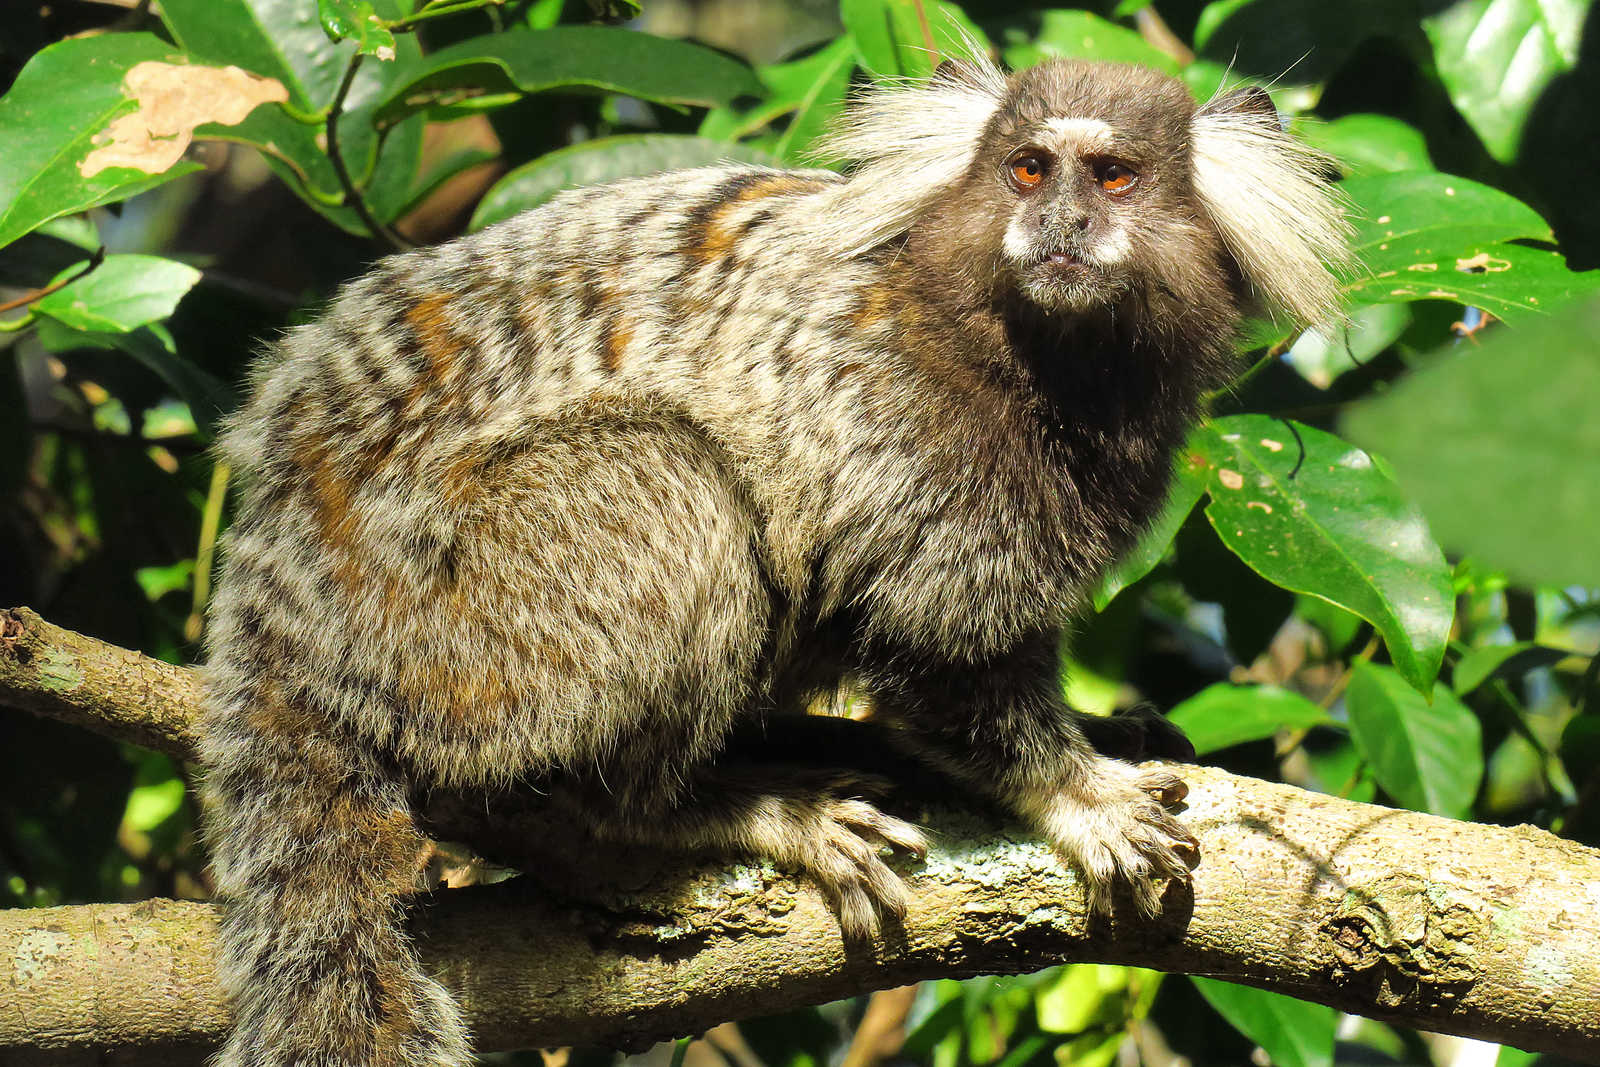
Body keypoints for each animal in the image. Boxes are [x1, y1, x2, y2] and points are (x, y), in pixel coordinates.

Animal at [199, 53, 1348, 1067]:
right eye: (1027, 169)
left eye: (1112, 176)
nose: (1059, 223)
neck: (1050, 362)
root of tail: (282, 588)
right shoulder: (901, 426)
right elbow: (941, 655)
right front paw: (1075, 792)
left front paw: (1106, 729)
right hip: (458, 611)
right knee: (668, 480)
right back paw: (726, 810)